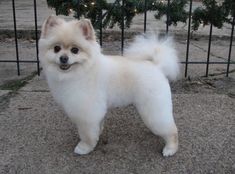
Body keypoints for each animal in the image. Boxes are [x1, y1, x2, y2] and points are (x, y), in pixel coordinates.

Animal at [38, 16, 179, 156]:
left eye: (75, 50)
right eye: (56, 48)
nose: (63, 58)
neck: (83, 70)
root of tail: (157, 66)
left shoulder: (86, 111)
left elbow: (86, 134)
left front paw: (85, 147)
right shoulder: (96, 110)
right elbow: (98, 125)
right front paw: (98, 134)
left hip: (154, 107)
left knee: (171, 130)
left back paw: (170, 149)